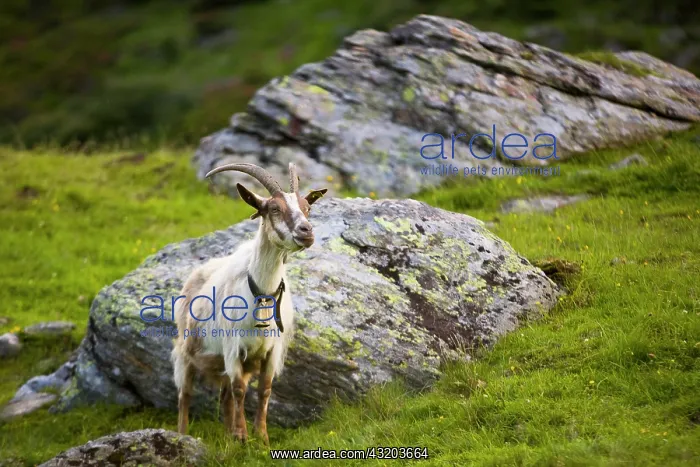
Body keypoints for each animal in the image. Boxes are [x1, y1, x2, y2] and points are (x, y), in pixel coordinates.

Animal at [171, 162, 327, 444]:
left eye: (306, 208)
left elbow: (264, 390)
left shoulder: (272, 351)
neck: (261, 294)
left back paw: (227, 436)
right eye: (274, 208)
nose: (306, 231)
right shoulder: (233, 348)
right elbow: (240, 390)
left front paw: (260, 437)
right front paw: (243, 436)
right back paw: (182, 436)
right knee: (184, 396)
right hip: (186, 353)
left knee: (224, 397)